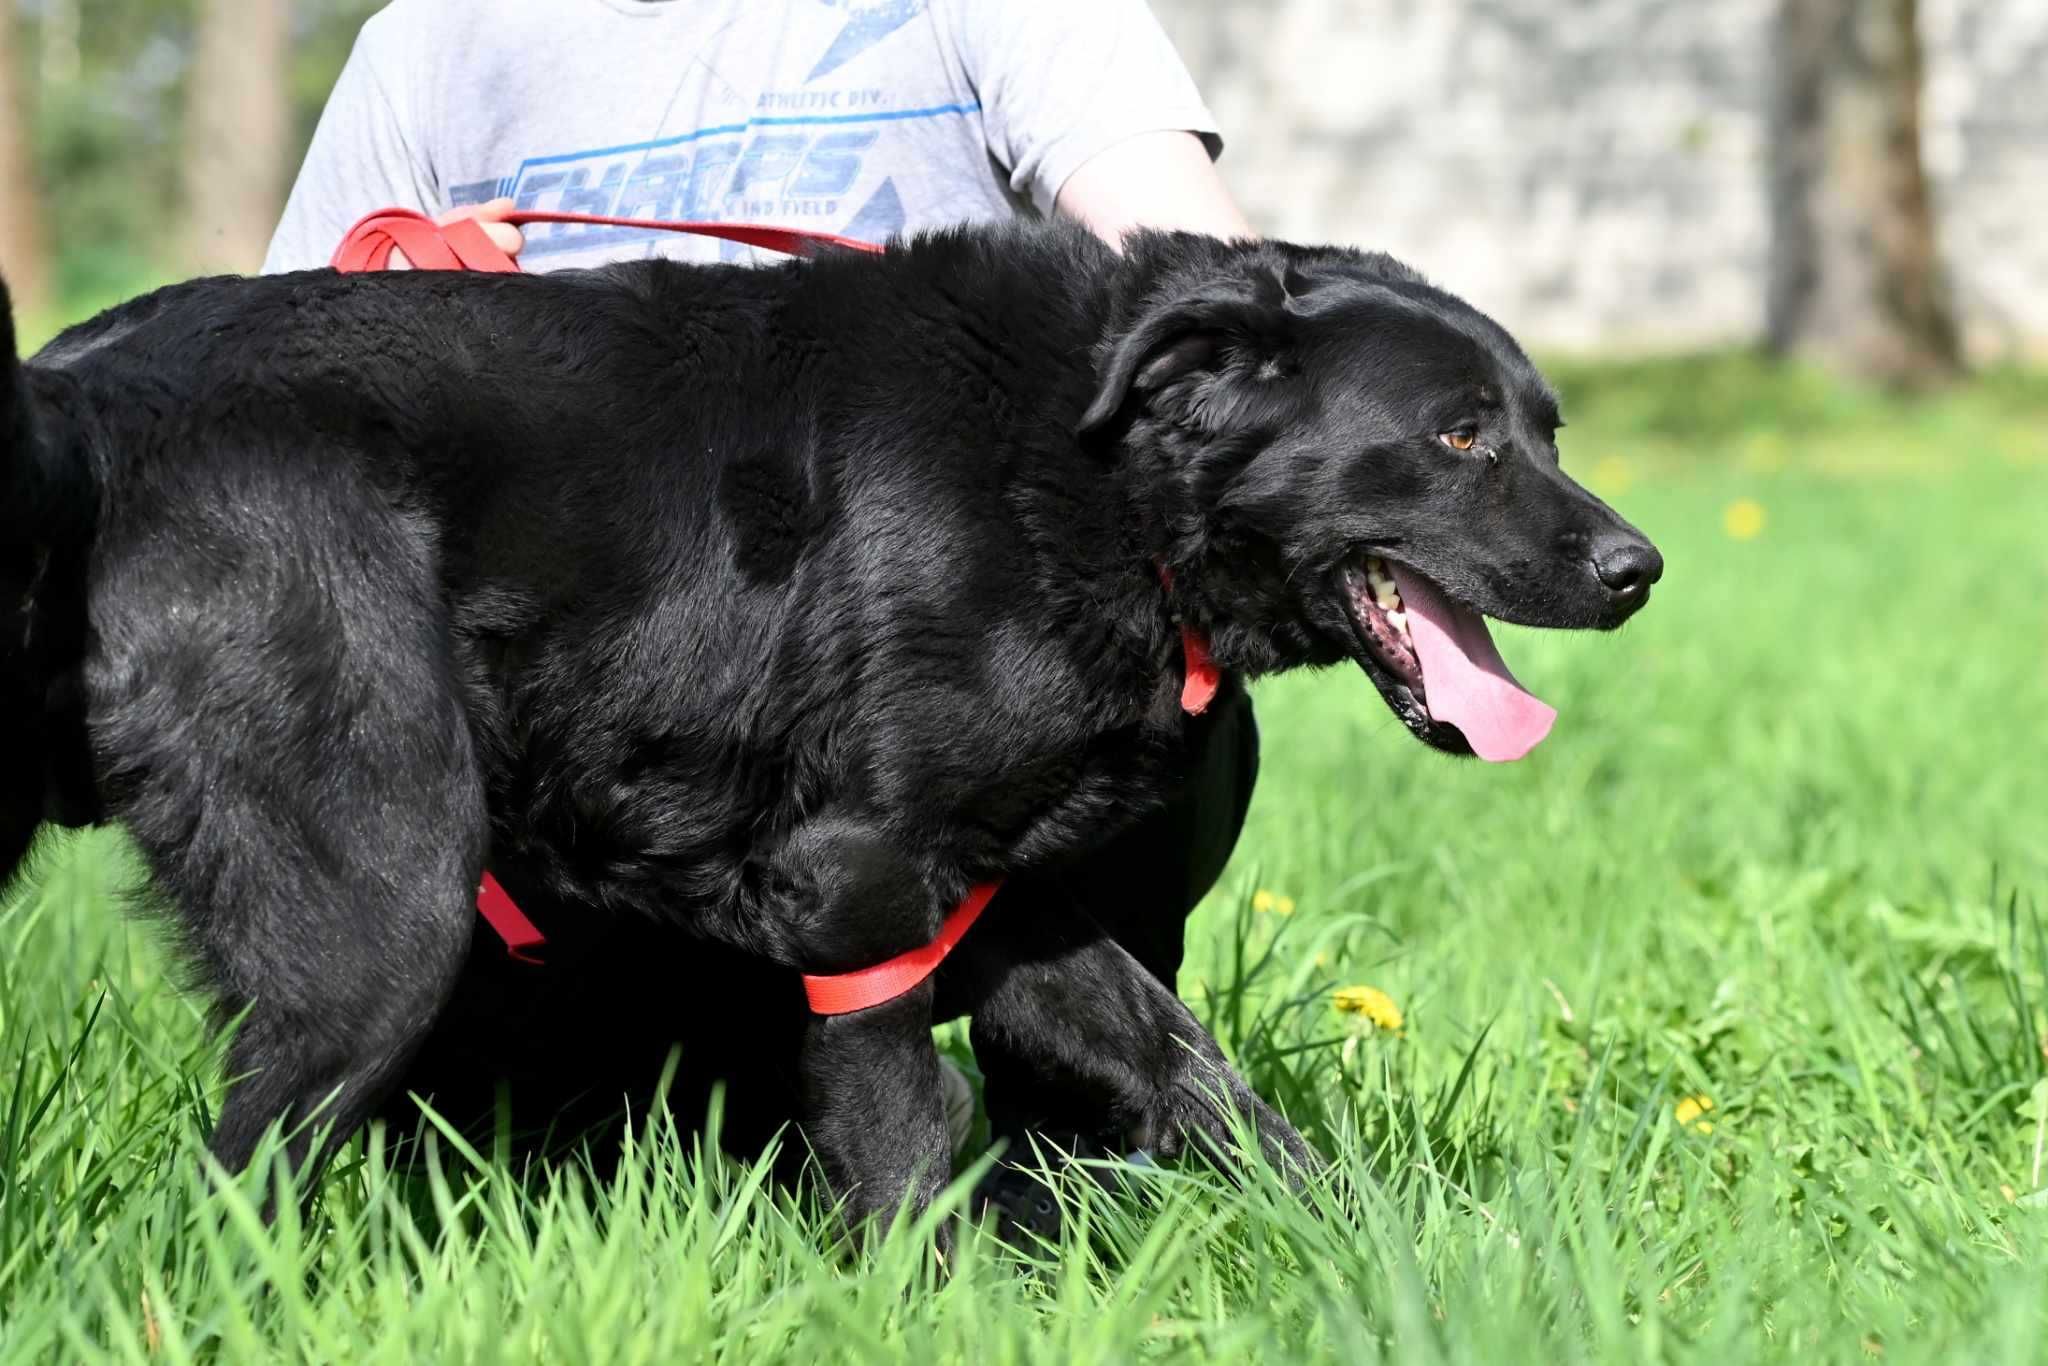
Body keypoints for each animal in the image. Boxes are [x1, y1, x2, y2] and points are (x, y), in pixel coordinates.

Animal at [0, 224, 1654, 1228]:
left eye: (1548, 428)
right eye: (1458, 435)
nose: (1637, 569)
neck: (1092, 469)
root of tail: (80, 398)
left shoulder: (1012, 910)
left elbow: (1203, 1083)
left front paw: (1393, 1263)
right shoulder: (855, 889)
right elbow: (910, 1134)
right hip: (381, 911)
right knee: (227, 1196)